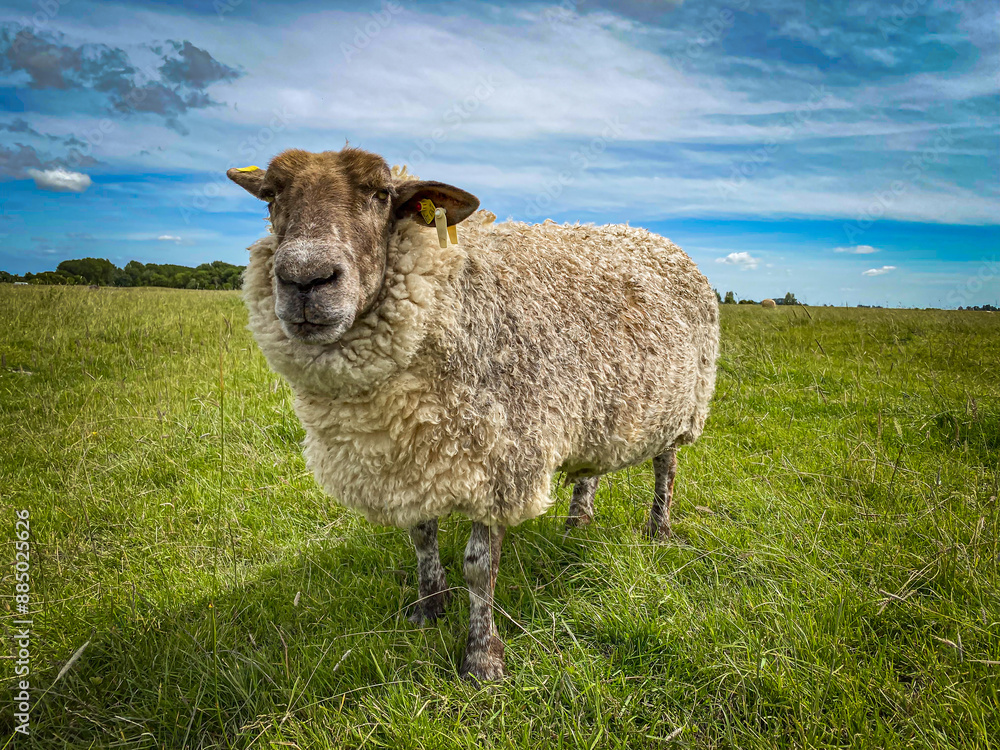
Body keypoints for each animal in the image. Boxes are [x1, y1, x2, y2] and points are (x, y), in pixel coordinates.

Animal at [228, 147, 720, 681]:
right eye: (270, 196)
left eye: (382, 194)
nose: (305, 279)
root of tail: (652, 236)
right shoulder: (410, 455)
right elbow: (421, 538)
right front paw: (429, 607)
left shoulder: (501, 458)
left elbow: (480, 566)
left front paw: (482, 658)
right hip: (599, 403)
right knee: (591, 468)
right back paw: (578, 522)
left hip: (682, 402)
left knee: (666, 468)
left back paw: (659, 531)